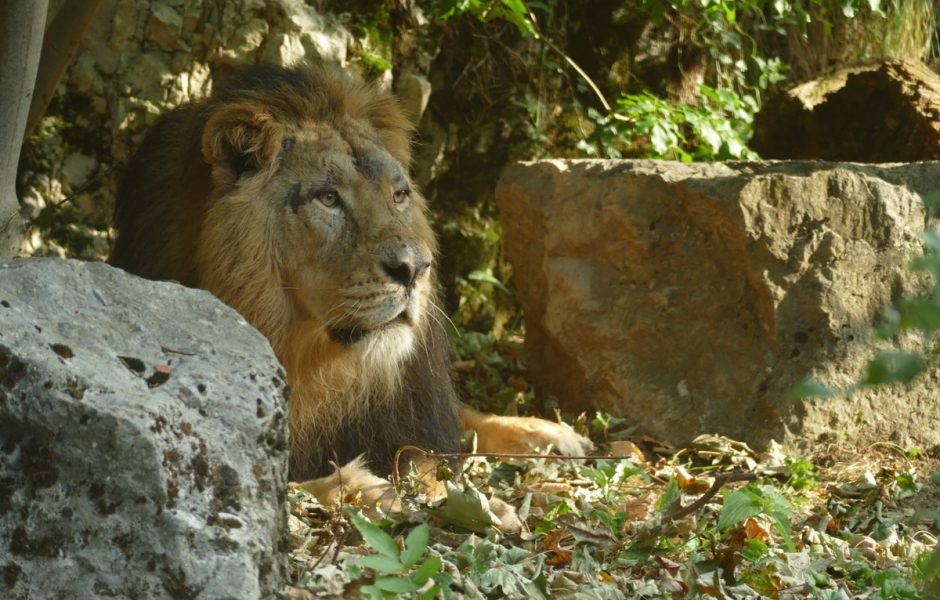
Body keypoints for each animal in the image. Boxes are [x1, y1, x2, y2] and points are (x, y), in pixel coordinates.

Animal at [110, 63, 592, 508]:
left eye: (399, 195)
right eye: (328, 198)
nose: (415, 269)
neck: (320, 367)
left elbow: (463, 420)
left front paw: (545, 432)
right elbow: (301, 483)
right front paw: (374, 488)